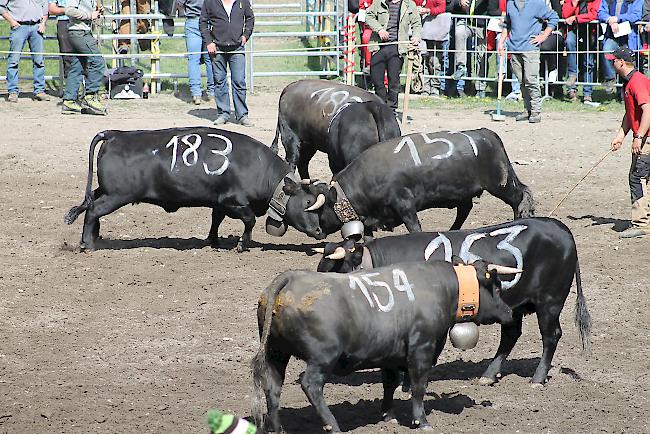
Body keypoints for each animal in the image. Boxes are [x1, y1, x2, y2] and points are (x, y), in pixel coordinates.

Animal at [64, 127, 326, 251]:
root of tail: (115, 135)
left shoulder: (219, 201)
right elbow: (249, 220)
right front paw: (242, 244)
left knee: (91, 203)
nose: (320, 231)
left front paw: (213, 241)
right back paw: (87, 243)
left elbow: (216, 219)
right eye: (307, 203)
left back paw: (95, 236)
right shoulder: (234, 201)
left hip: (107, 191)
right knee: (93, 210)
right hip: (117, 195)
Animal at [251, 260, 512, 432]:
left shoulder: (390, 354)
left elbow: (390, 383)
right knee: (311, 385)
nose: (509, 312)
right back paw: (333, 425)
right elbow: (419, 386)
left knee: (273, 387)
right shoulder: (422, 349)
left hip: (277, 354)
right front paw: (421, 421)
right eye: (497, 287)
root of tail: (291, 277)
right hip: (322, 357)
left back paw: (278, 429)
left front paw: (388, 416)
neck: (444, 288)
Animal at [308, 128, 532, 237]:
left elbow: (414, 227)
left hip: (500, 183)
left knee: (518, 197)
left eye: (321, 210)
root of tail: (487, 133)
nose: (316, 232)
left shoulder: (405, 205)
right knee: (464, 209)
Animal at [316, 219, 592, 384]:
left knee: (551, 335)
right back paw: (489, 374)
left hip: (550, 302)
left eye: (334, 271)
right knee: (511, 334)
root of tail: (559, 226)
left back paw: (538, 377)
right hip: (514, 307)